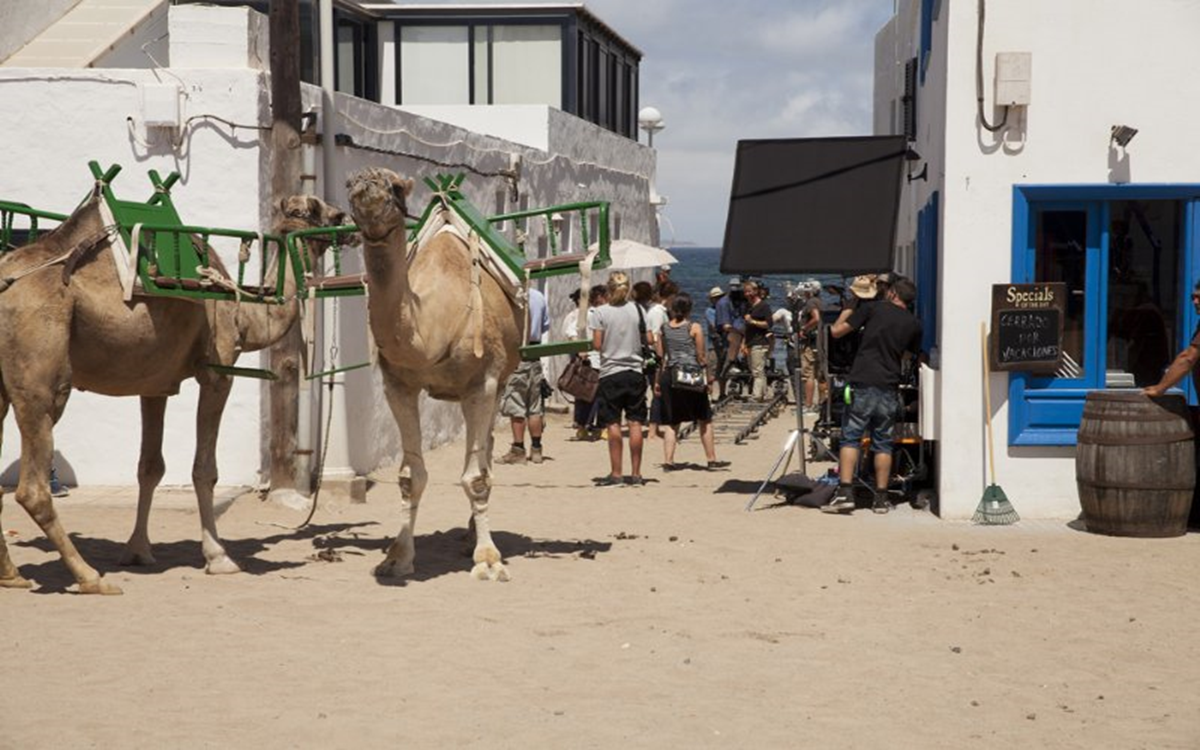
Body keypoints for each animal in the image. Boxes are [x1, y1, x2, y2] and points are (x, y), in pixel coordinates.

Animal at [0, 184, 348, 592]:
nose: (346, 218)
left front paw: (137, 551)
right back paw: (90, 577)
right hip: (41, 376)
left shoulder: (155, 384)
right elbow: (204, 469)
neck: (244, 314)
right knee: (32, 487)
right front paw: (219, 558)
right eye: (321, 208)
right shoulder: (217, 372)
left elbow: (149, 467)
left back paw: (12, 575)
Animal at [343, 168, 520, 578]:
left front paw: (488, 559)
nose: (365, 182)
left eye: (395, 186)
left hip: (499, 380)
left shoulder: (483, 382)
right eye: (349, 184)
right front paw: (397, 557)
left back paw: (475, 536)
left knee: (485, 450)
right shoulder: (398, 385)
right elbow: (411, 477)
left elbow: (476, 477)